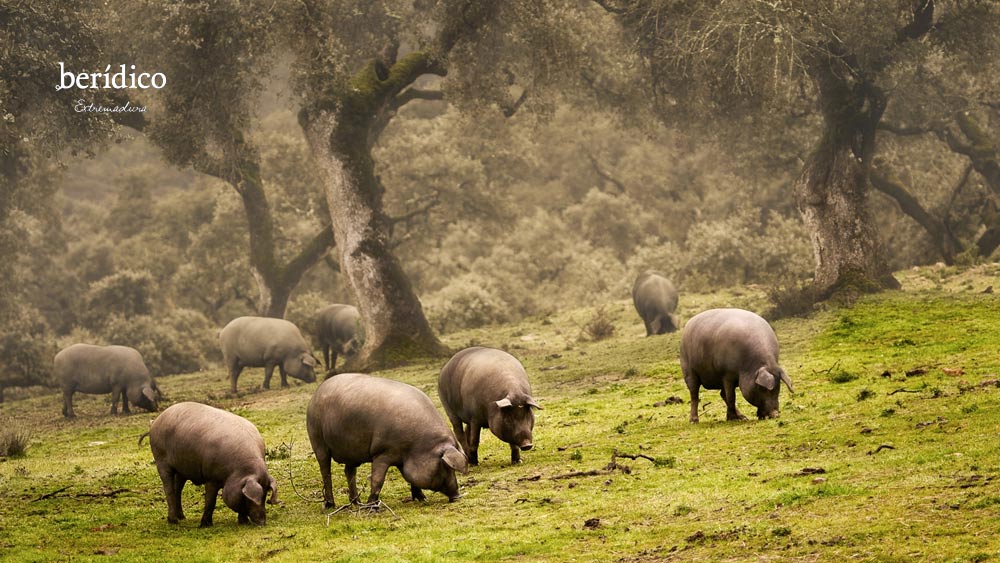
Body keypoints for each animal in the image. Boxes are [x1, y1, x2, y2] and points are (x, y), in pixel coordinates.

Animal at [141, 404, 278, 528]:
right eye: (251, 499)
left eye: (265, 495)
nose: (262, 522)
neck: (236, 470)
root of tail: (155, 422)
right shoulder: (212, 478)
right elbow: (210, 501)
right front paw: (205, 525)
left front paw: (243, 522)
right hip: (161, 459)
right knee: (168, 488)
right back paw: (173, 521)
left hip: (182, 468)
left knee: (178, 489)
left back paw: (182, 517)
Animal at [304, 372, 468, 508]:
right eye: (444, 465)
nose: (458, 496)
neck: (416, 446)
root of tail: (317, 392)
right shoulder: (382, 452)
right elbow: (378, 479)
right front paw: (372, 505)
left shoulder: (402, 459)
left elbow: (411, 479)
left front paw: (423, 498)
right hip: (317, 439)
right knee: (325, 471)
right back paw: (330, 505)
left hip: (351, 451)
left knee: (349, 471)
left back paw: (356, 502)